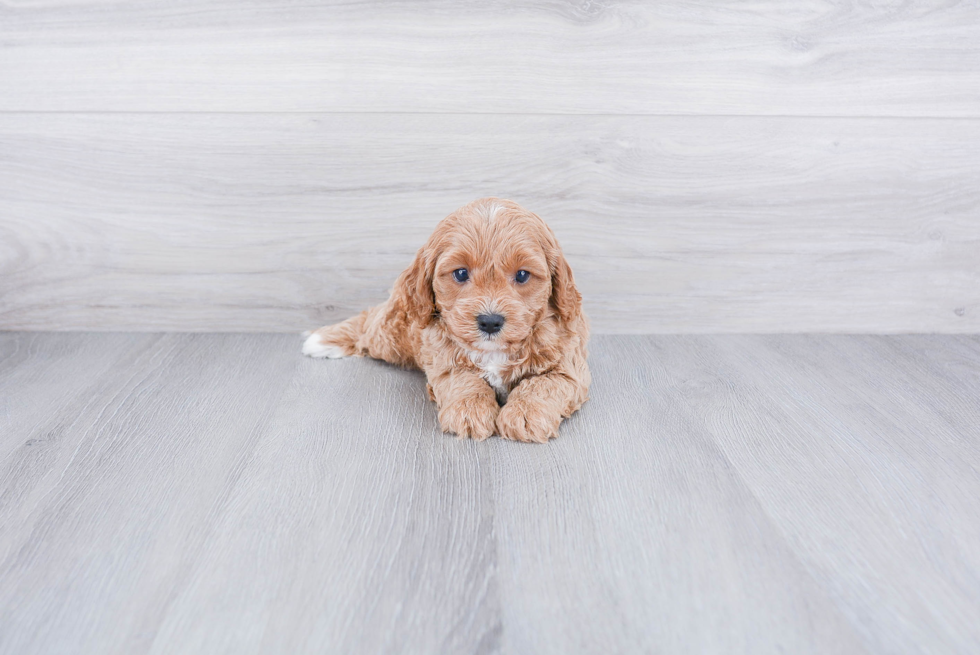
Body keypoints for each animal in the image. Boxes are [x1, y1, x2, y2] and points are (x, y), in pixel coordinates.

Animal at [302, 199, 588, 446]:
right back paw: (323, 340)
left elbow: (545, 384)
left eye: (522, 275)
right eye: (460, 273)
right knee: (368, 320)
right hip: (391, 339)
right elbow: (463, 379)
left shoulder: (571, 368)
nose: (490, 321)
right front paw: (469, 410)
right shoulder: (441, 358)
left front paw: (526, 413)